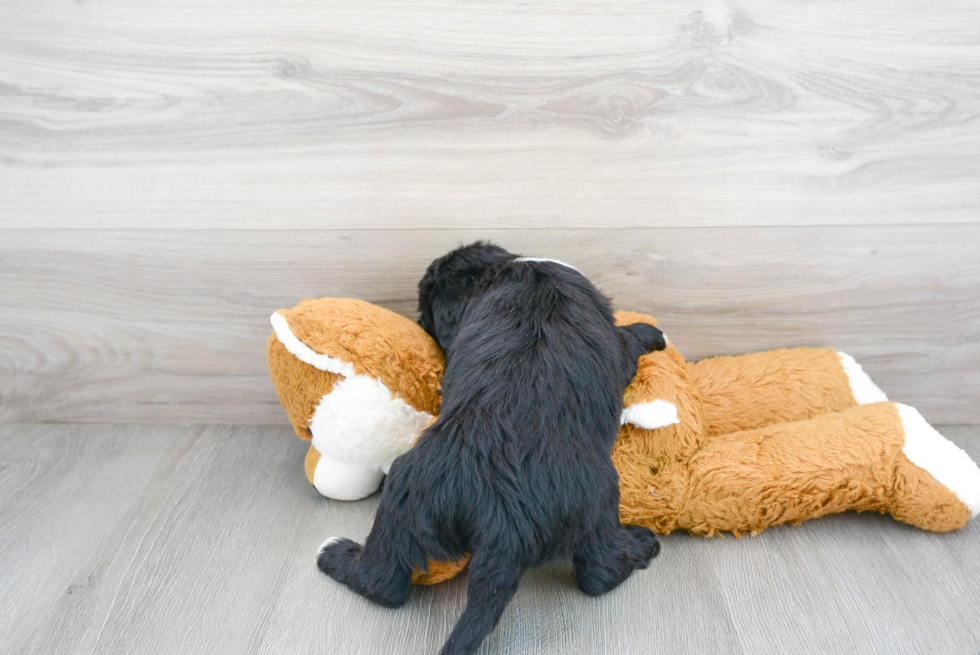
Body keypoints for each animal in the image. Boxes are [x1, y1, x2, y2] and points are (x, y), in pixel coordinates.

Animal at [318, 242, 668, 655]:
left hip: (406, 494)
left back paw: (335, 554)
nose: (420, 323)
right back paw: (642, 543)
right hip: (599, 501)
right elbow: (628, 339)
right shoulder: (616, 345)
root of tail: (505, 522)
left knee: (382, 583)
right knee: (599, 572)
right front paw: (653, 331)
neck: (507, 268)